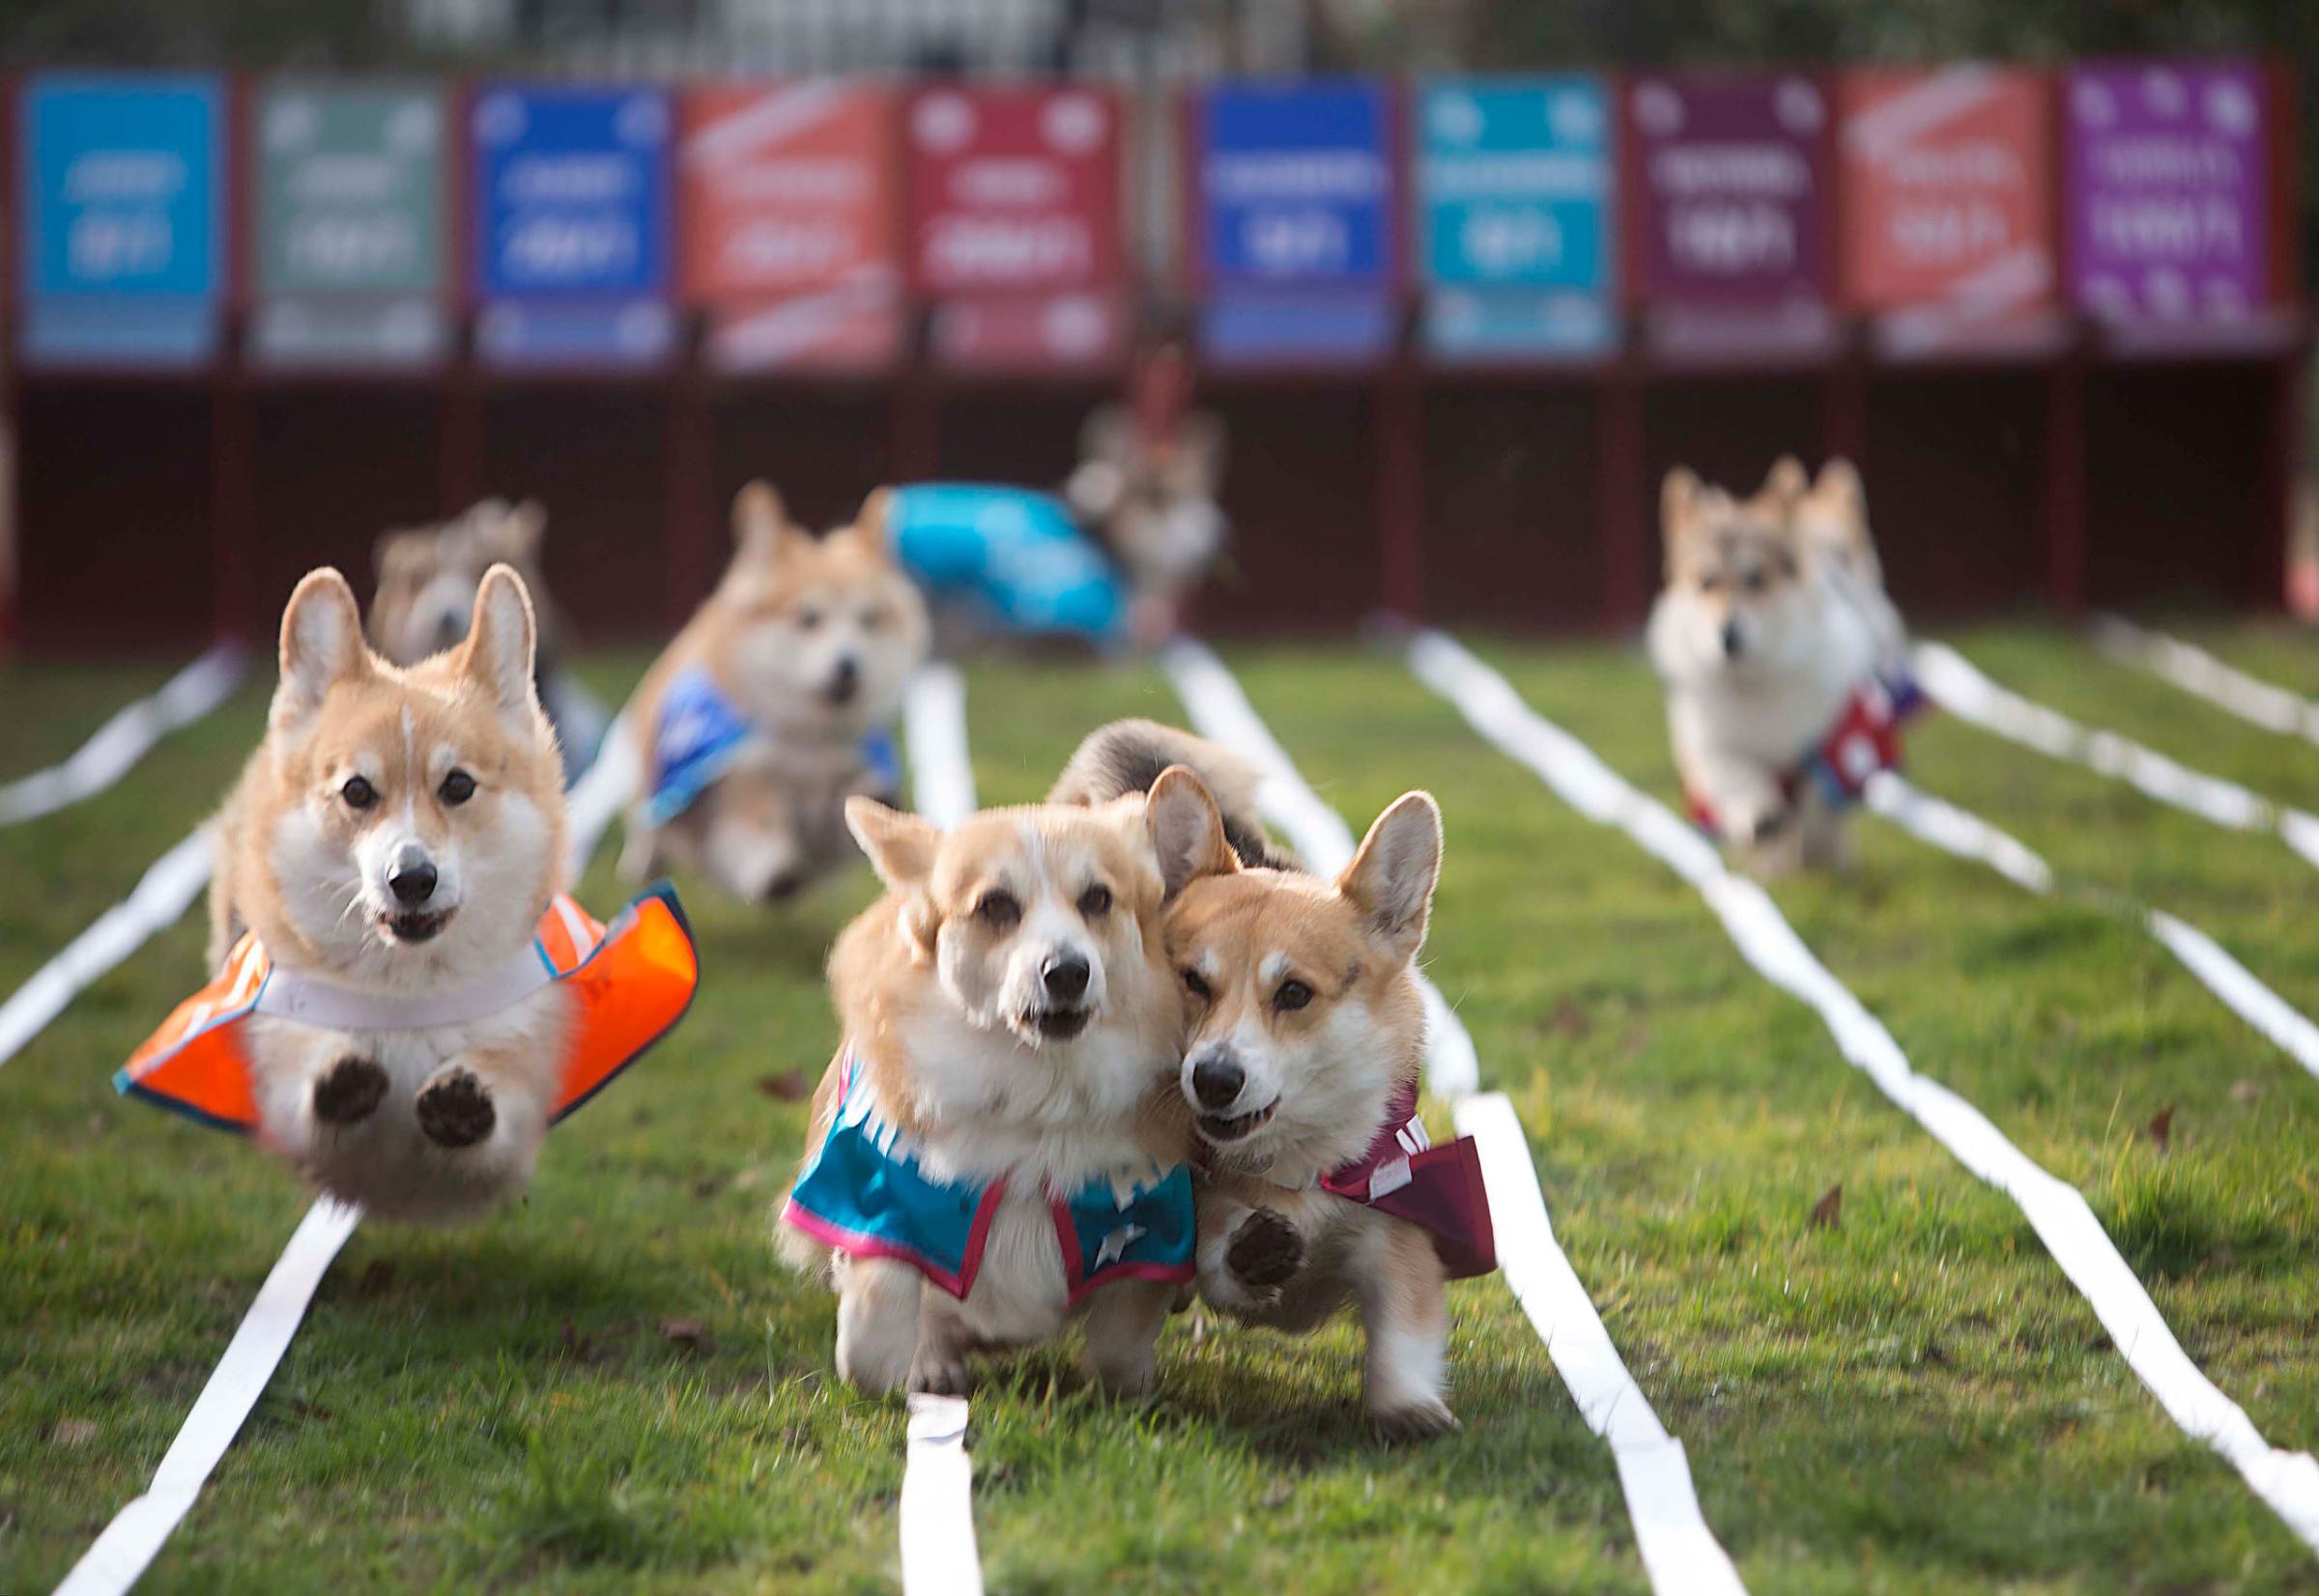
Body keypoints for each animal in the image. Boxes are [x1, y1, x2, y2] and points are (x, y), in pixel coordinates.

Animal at [204, 563, 575, 1224]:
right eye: (357, 790)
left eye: (458, 785)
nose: (413, 880)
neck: (407, 990)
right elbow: (303, 1074)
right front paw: (338, 1079)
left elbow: (502, 1088)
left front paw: (465, 1098)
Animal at [630, 480, 936, 904]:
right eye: (809, 618)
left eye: (867, 620)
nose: (848, 666)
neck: (807, 741)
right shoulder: (740, 782)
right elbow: (755, 832)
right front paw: (777, 874)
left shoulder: (832, 814)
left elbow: (853, 809)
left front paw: (878, 797)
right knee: (651, 831)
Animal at [784, 798, 1206, 1391]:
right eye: (996, 906)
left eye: (1098, 899)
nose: (1067, 972)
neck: (1035, 1090)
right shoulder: (874, 1195)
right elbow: (874, 1326)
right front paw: (907, 1366)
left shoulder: (1148, 1228)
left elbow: (1120, 1347)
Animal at [1650, 469, 1882, 871]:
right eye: (1706, 582)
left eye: (1756, 579)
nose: (1728, 635)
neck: (1756, 678)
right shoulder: (1710, 743)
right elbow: (1740, 778)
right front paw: (1761, 819)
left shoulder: (1834, 738)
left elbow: (1819, 800)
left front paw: (1815, 850)